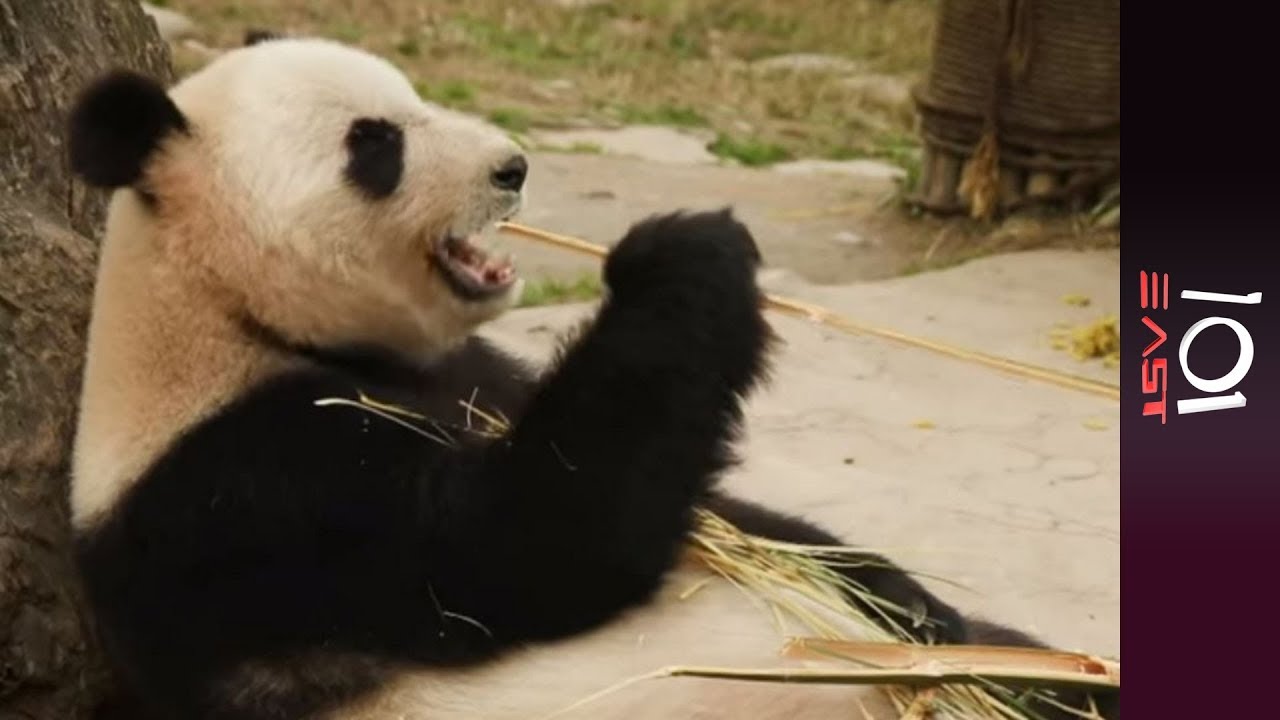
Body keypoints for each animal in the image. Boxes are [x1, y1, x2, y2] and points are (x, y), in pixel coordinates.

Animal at [66, 37, 1115, 720]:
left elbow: (738, 518)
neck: (228, 312)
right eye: (376, 144)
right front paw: (680, 253)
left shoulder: (476, 373)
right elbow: (533, 544)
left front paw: (924, 611)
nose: (513, 166)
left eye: (415, 99)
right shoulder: (250, 495)